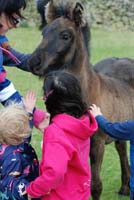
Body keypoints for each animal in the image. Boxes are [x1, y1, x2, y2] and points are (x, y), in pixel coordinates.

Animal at [28, 0, 134, 199]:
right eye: (43, 32)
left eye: (65, 35)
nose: (33, 62)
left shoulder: (97, 144)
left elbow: (96, 185)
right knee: (121, 148)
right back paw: (124, 188)